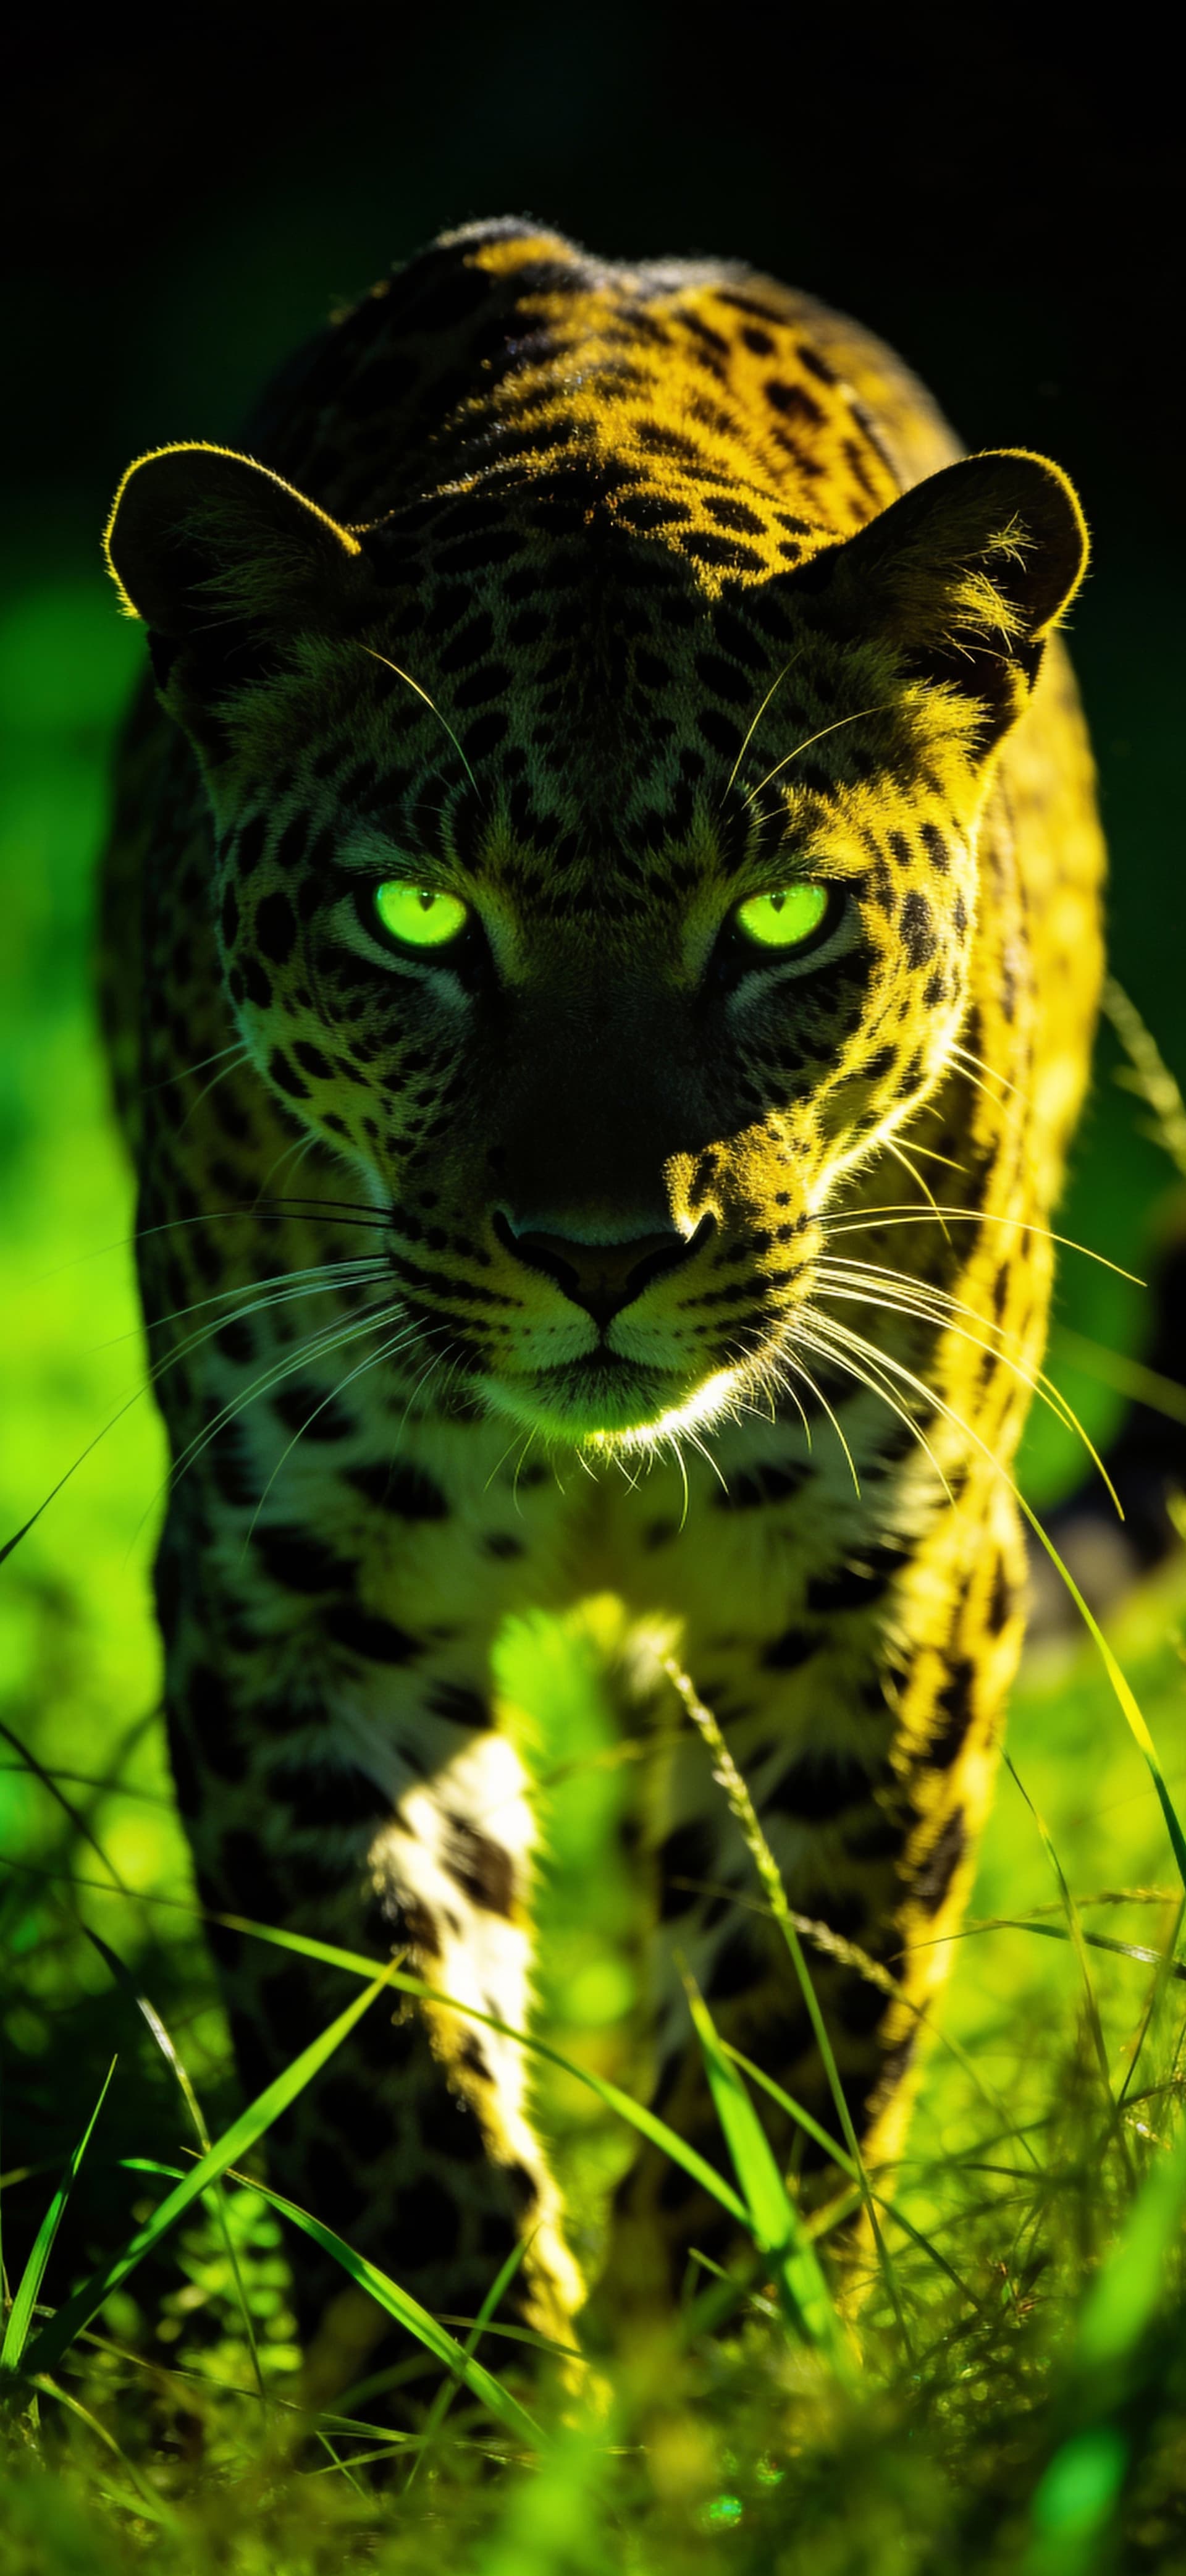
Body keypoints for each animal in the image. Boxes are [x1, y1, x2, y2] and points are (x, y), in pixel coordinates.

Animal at [99, 216, 1104, 2375]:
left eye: (782, 919)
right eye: (414, 918)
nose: (599, 1256)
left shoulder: (880, 1590)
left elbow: (793, 2034)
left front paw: (723, 2383)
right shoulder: (292, 1591)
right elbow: (390, 2065)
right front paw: (460, 2407)